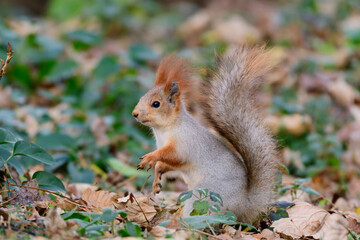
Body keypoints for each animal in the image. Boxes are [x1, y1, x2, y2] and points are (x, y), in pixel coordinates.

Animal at [132, 46, 278, 222]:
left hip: (206, 194)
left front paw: (150, 157)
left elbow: (172, 155)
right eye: (141, 97)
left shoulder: (185, 143)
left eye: (156, 104)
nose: (134, 114)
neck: (163, 130)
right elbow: (167, 164)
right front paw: (157, 178)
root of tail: (244, 204)